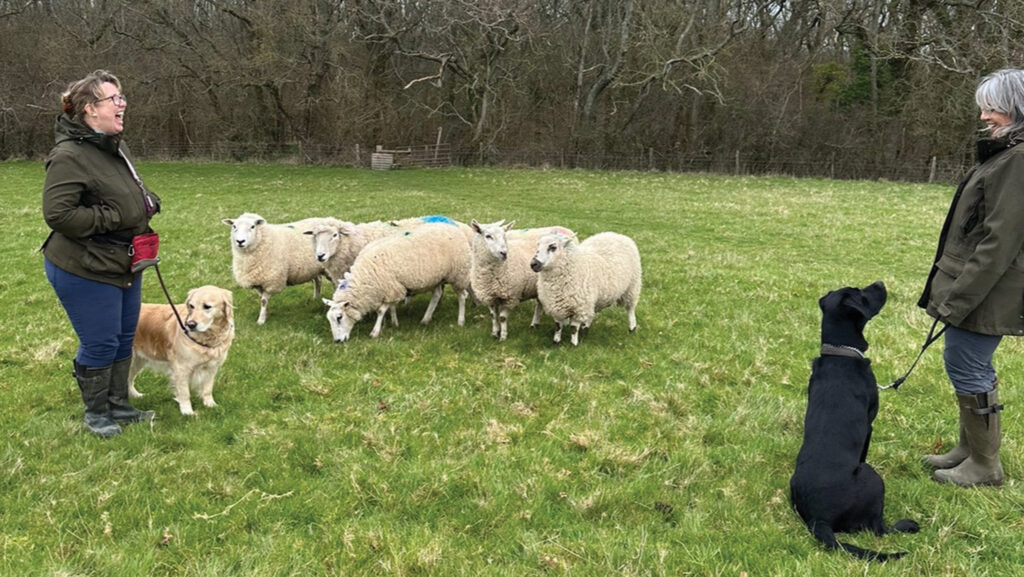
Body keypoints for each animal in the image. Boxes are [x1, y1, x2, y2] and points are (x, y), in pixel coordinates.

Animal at [321, 220, 473, 338]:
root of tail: (454, 228)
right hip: (437, 276)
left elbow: (381, 310)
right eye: (329, 319)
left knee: (462, 296)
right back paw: (425, 319)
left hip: (458, 273)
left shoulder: (390, 286)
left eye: (339, 317)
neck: (366, 273)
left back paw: (460, 321)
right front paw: (394, 323)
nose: (337, 341)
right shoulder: (392, 286)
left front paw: (375, 332)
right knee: (436, 295)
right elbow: (392, 306)